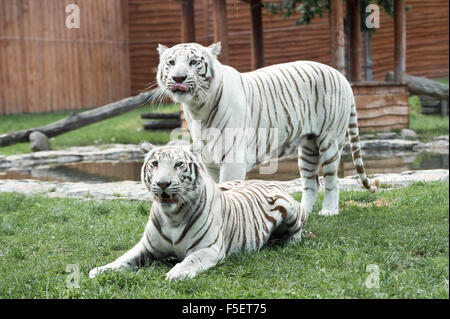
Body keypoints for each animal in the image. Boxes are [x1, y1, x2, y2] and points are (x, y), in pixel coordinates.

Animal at [88, 141, 306, 282]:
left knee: (299, 230)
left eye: (179, 164)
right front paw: (100, 270)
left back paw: (288, 241)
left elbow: (192, 259)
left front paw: (177, 273)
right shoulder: (147, 247)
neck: (171, 216)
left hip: (291, 209)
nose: (163, 183)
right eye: (155, 164)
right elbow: (123, 258)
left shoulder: (209, 248)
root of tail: (263, 180)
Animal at [156, 41, 378, 216]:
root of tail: (341, 76)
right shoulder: (209, 159)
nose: (178, 78)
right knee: (312, 183)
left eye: (194, 62)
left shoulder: (233, 157)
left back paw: (329, 211)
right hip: (308, 146)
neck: (197, 108)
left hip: (329, 140)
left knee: (332, 179)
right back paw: (303, 211)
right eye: (171, 63)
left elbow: (227, 187)